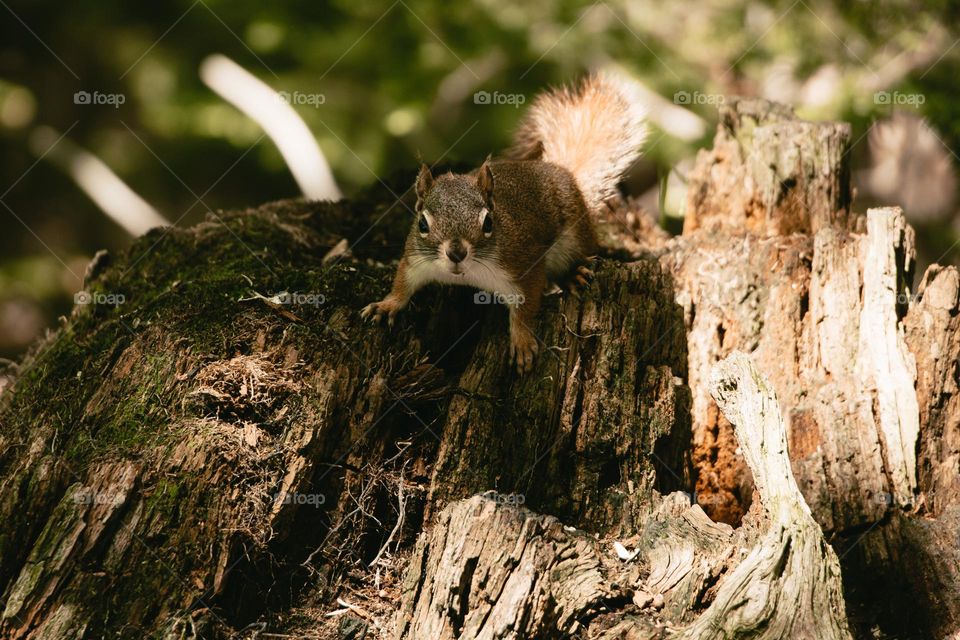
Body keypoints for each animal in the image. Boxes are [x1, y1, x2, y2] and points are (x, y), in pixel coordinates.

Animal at [364, 74, 648, 376]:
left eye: (488, 222)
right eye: (422, 224)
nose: (456, 253)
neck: (468, 274)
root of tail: (561, 172)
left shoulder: (524, 266)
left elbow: (525, 309)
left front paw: (522, 343)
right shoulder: (415, 259)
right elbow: (403, 282)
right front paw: (386, 305)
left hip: (575, 235)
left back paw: (573, 275)